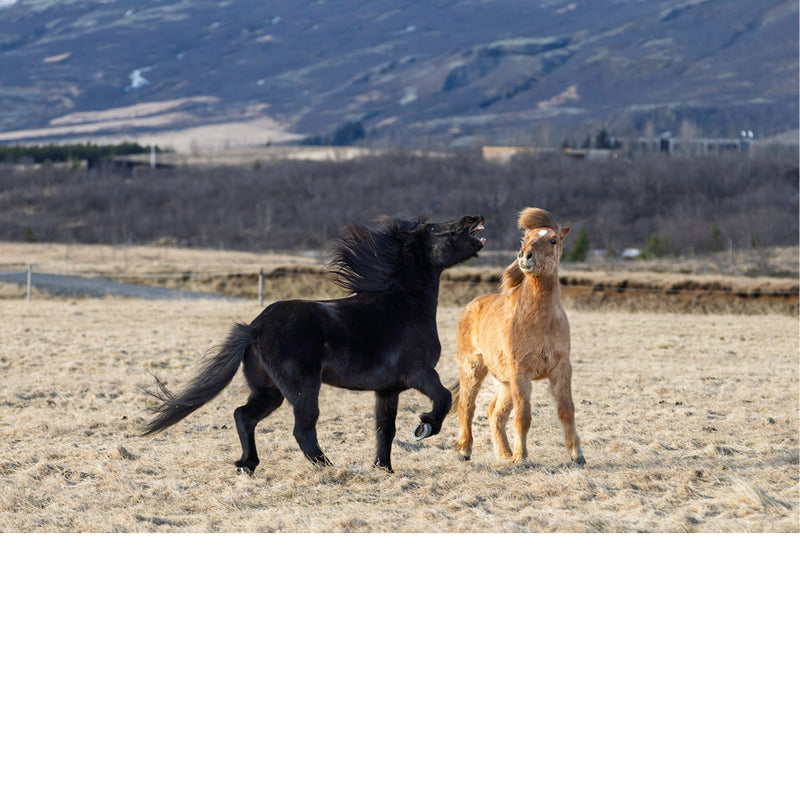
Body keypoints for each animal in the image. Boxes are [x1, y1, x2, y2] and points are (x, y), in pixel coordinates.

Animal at [142, 214, 486, 474]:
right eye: (433, 229)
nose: (475, 219)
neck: (405, 306)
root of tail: (255, 327)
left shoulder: (388, 390)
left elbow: (384, 430)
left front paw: (384, 468)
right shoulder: (419, 373)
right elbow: (443, 398)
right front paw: (424, 428)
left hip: (269, 391)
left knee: (244, 416)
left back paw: (247, 465)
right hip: (303, 388)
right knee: (302, 429)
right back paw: (329, 467)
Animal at [451, 207, 585, 466]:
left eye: (553, 240)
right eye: (525, 239)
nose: (526, 257)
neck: (540, 321)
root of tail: (471, 307)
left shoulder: (561, 369)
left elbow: (566, 410)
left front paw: (577, 455)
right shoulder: (521, 373)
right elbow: (523, 416)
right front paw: (521, 456)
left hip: (504, 382)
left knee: (494, 413)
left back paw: (504, 455)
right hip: (473, 369)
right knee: (467, 407)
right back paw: (465, 450)